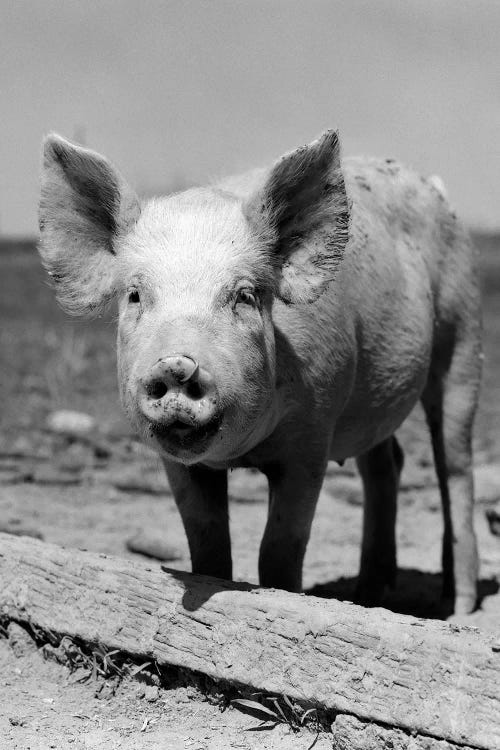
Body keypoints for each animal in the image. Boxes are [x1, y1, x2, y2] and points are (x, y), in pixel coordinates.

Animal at [37, 131, 482, 616]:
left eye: (245, 296)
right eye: (135, 295)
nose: (175, 364)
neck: (241, 455)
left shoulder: (313, 435)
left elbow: (280, 548)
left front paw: (284, 597)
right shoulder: (178, 464)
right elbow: (208, 545)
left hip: (462, 333)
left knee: (455, 468)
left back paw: (458, 607)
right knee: (386, 463)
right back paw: (368, 595)